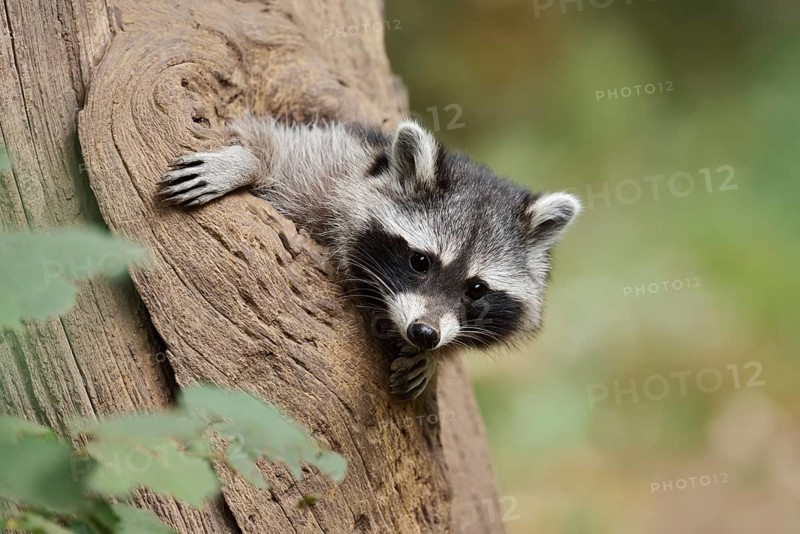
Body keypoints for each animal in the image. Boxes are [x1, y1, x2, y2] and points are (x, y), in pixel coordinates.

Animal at [159, 116, 581, 401]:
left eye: (476, 289)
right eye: (420, 262)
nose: (424, 334)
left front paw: (431, 361)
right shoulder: (333, 165)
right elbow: (278, 144)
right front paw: (245, 160)